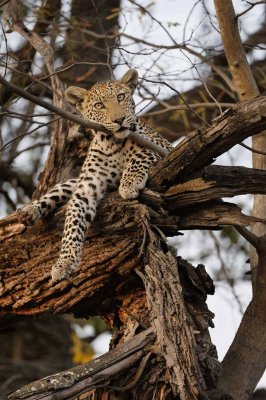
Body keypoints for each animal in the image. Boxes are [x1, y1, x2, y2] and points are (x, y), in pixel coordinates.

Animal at [18, 69, 172, 282]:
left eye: (121, 97)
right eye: (99, 105)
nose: (119, 120)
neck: (114, 143)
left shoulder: (162, 148)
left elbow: (140, 155)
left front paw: (129, 183)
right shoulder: (85, 189)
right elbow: (72, 225)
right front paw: (64, 263)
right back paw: (29, 211)